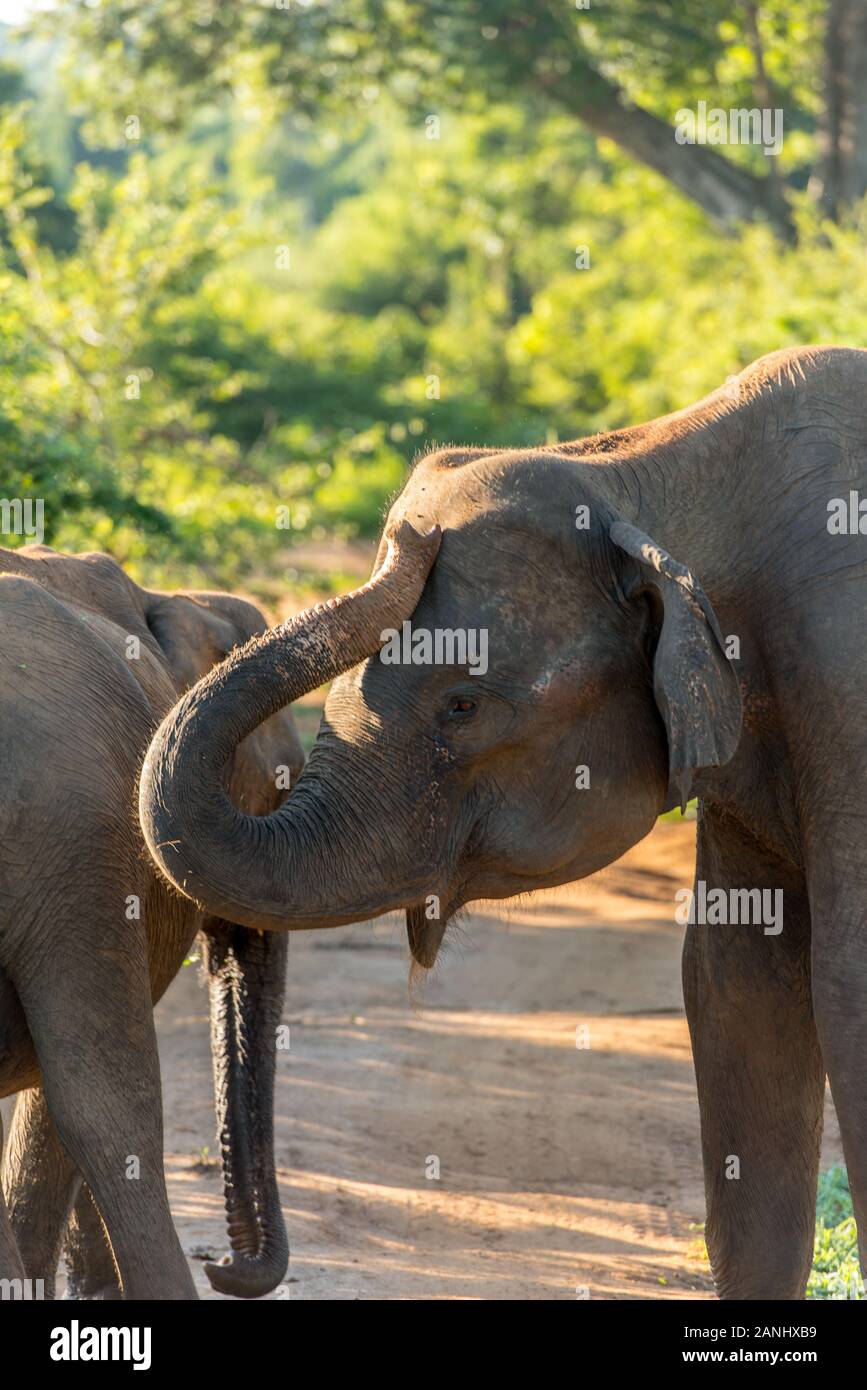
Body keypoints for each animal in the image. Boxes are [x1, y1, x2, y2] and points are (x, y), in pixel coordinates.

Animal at [138, 347, 867, 1301]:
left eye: (461, 705)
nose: (408, 541)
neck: (648, 471)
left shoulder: (843, 680)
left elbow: (845, 983)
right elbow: (736, 982)